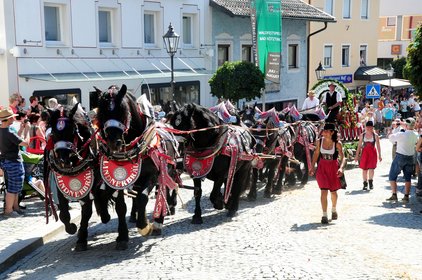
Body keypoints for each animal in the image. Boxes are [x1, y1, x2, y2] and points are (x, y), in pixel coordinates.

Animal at [46, 103, 128, 249]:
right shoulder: (60, 184)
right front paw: (74, 230)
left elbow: (88, 211)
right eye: (54, 133)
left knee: (119, 206)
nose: (63, 160)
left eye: (72, 131)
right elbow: (65, 213)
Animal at [96, 85, 179, 236]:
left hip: (167, 171)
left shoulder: (152, 175)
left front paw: (144, 225)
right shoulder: (118, 179)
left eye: (123, 111)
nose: (113, 142)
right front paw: (122, 235)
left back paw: (159, 220)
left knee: (164, 190)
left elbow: (143, 197)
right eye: (102, 113)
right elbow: (121, 206)